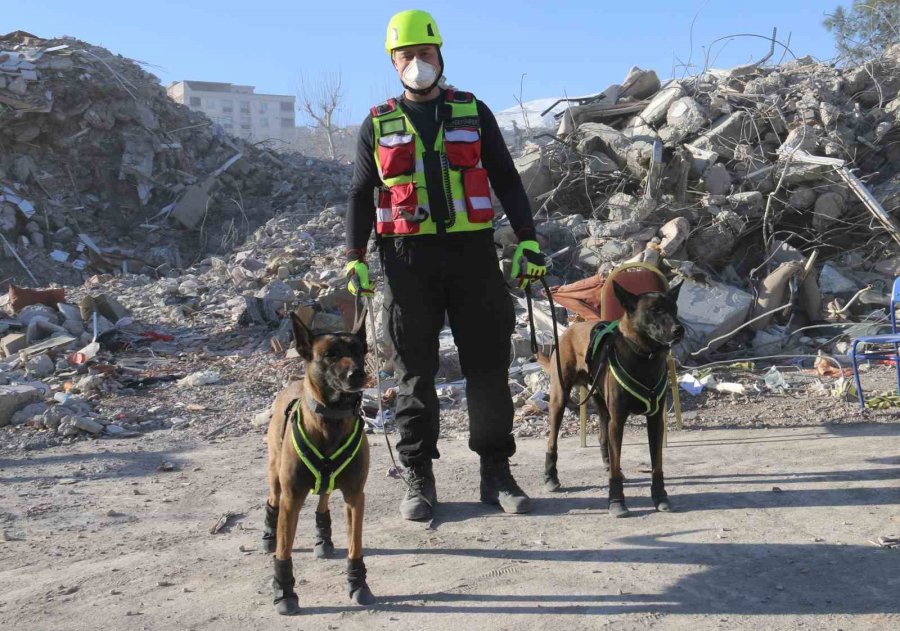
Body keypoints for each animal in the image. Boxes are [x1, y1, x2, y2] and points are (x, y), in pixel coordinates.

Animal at [262, 314, 374, 616]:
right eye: (330, 355)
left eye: (359, 351)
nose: (358, 374)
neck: (331, 421)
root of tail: (292, 384)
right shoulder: (291, 499)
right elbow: (283, 553)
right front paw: (284, 592)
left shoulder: (355, 497)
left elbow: (355, 546)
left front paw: (358, 583)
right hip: (275, 475)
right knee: (272, 500)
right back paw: (268, 535)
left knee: (323, 497)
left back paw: (323, 538)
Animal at [540, 282, 684, 520]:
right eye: (655, 310)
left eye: (675, 309)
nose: (679, 330)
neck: (644, 357)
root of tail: (569, 329)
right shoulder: (618, 421)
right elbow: (618, 466)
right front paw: (616, 501)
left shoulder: (656, 420)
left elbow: (657, 464)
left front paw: (660, 496)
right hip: (559, 399)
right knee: (552, 440)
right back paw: (550, 476)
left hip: (601, 402)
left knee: (602, 437)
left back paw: (606, 464)